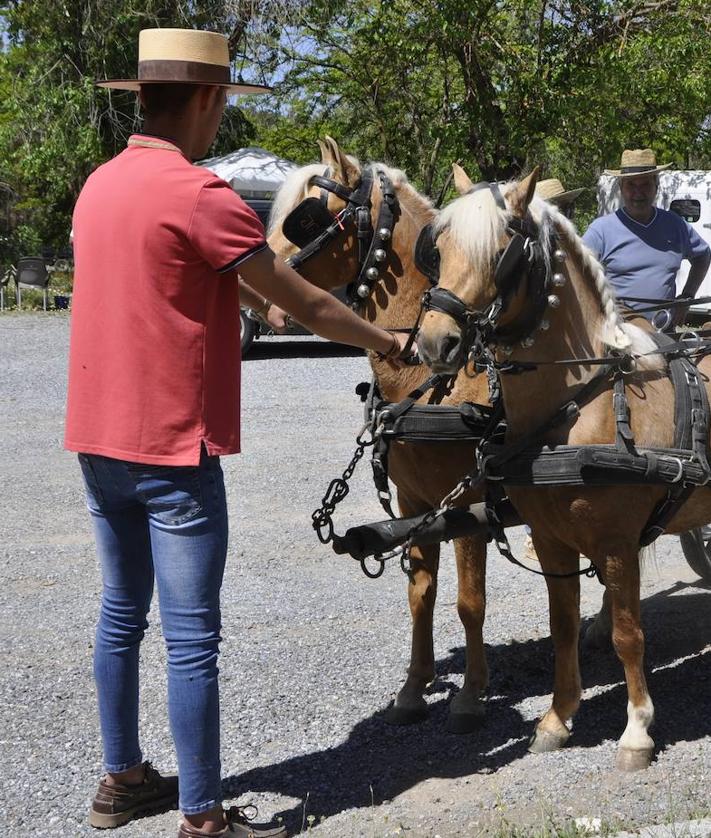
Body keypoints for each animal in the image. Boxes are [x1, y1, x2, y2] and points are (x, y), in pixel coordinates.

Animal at [264, 138, 492, 728]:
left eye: (306, 217)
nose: (267, 298)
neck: (430, 382)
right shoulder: (417, 499)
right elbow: (421, 593)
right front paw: (414, 688)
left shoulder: (471, 502)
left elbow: (470, 602)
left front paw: (470, 696)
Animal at [418, 166, 711, 776]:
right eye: (440, 246)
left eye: (502, 252)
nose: (436, 342)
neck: (581, 401)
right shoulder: (551, 538)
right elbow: (562, 627)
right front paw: (558, 718)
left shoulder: (618, 541)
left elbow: (628, 634)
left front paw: (636, 730)